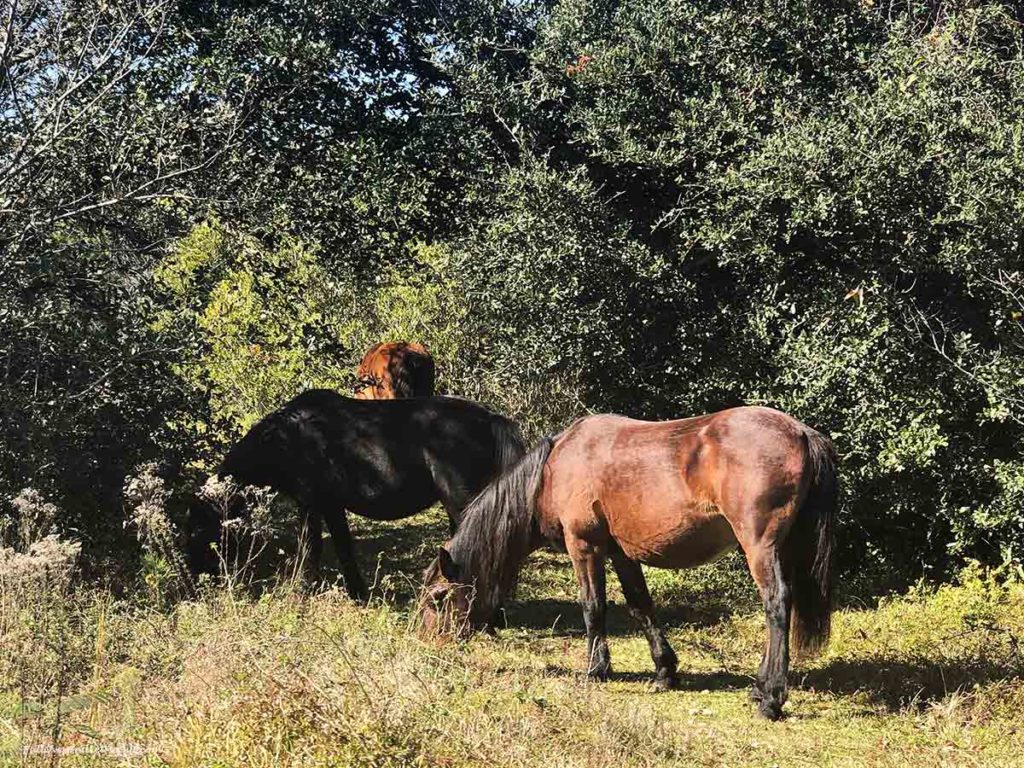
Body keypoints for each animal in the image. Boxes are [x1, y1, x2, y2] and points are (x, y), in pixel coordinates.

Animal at [188, 391, 524, 602]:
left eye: (201, 530)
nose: (200, 577)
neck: (288, 439)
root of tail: (490, 419)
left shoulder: (310, 505)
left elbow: (311, 549)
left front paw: (302, 592)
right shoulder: (331, 507)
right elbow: (343, 548)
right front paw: (358, 594)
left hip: (462, 503)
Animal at [419, 409, 835, 720]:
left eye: (438, 597)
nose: (427, 645)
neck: (552, 470)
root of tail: (801, 432)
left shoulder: (584, 546)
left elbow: (593, 607)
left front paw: (596, 670)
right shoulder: (622, 554)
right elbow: (640, 606)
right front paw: (665, 672)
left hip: (759, 546)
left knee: (777, 607)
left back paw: (771, 698)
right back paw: (759, 688)